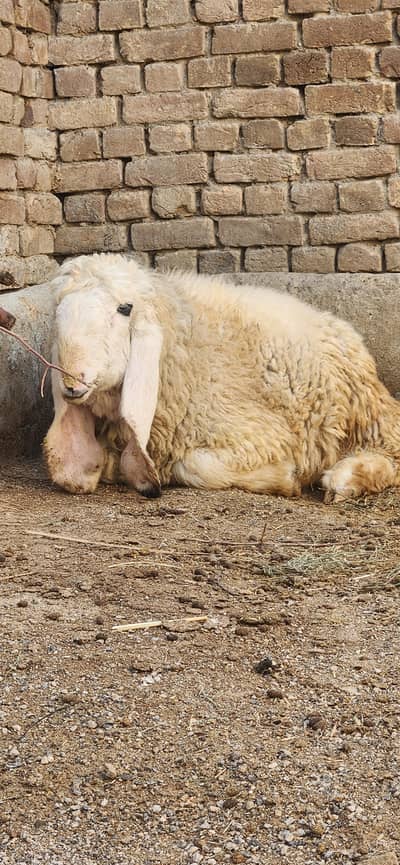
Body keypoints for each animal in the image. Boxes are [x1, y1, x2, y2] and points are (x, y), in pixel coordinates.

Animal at [44, 252, 400, 504]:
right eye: (58, 308)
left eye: (125, 308)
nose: (71, 381)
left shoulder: (258, 432)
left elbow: (194, 464)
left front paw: (283, 476)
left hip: (361, 409)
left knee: (390, 447)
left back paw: (347, 478)